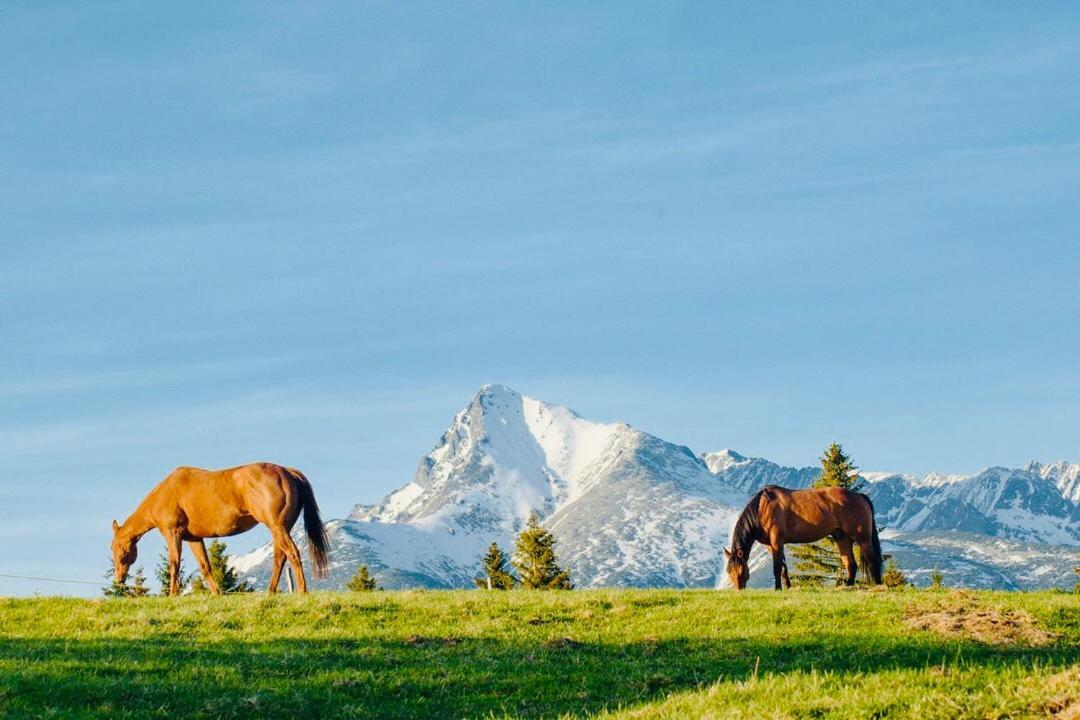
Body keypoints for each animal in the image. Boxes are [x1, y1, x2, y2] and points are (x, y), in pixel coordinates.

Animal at [110, 462, 330, 595]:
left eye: (116, 548)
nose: (118, 579)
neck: (166, 493)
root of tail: (289, 472)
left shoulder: (173, 533)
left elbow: (174, 565)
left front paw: (172, 595)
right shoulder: (193, 538)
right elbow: (205, 566)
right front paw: (216, 594)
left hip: (277, 527)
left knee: (292, 553)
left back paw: (302, 592)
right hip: (280, 529)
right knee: (279, 558)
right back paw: (270, 593)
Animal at [721, 483, 881, 591]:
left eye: (741, 570)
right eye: (729, 571)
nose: (739, 591)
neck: (762, 508)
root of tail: (859, 496)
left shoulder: (777, 540)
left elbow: (777, 567)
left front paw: (777, 588)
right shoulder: (771, 545)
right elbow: (783, 568)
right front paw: (787, 587)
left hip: (863, 539)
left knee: (873, 561)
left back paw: (878, 585)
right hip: (842, 538)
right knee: (851, 564)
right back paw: (847, 587)